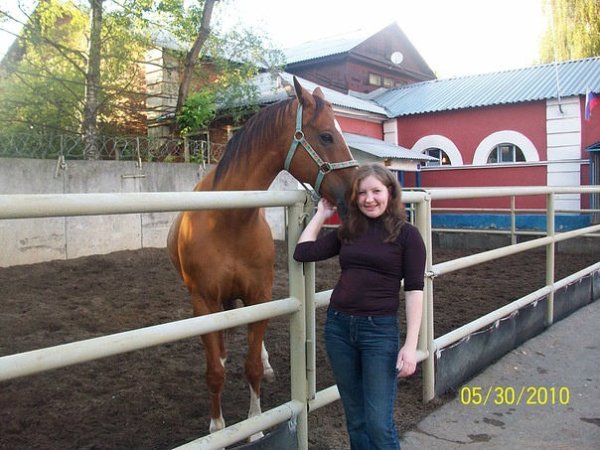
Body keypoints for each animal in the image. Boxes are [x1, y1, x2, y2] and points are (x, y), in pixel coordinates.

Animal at [166, 76, 358, 437]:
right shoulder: (203, 302)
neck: (228, 220)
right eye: (327, 135)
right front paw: (218, 427)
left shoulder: (260, 295)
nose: (356, 193)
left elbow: (252, 365)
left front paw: (255, 426)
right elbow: (215, 371)